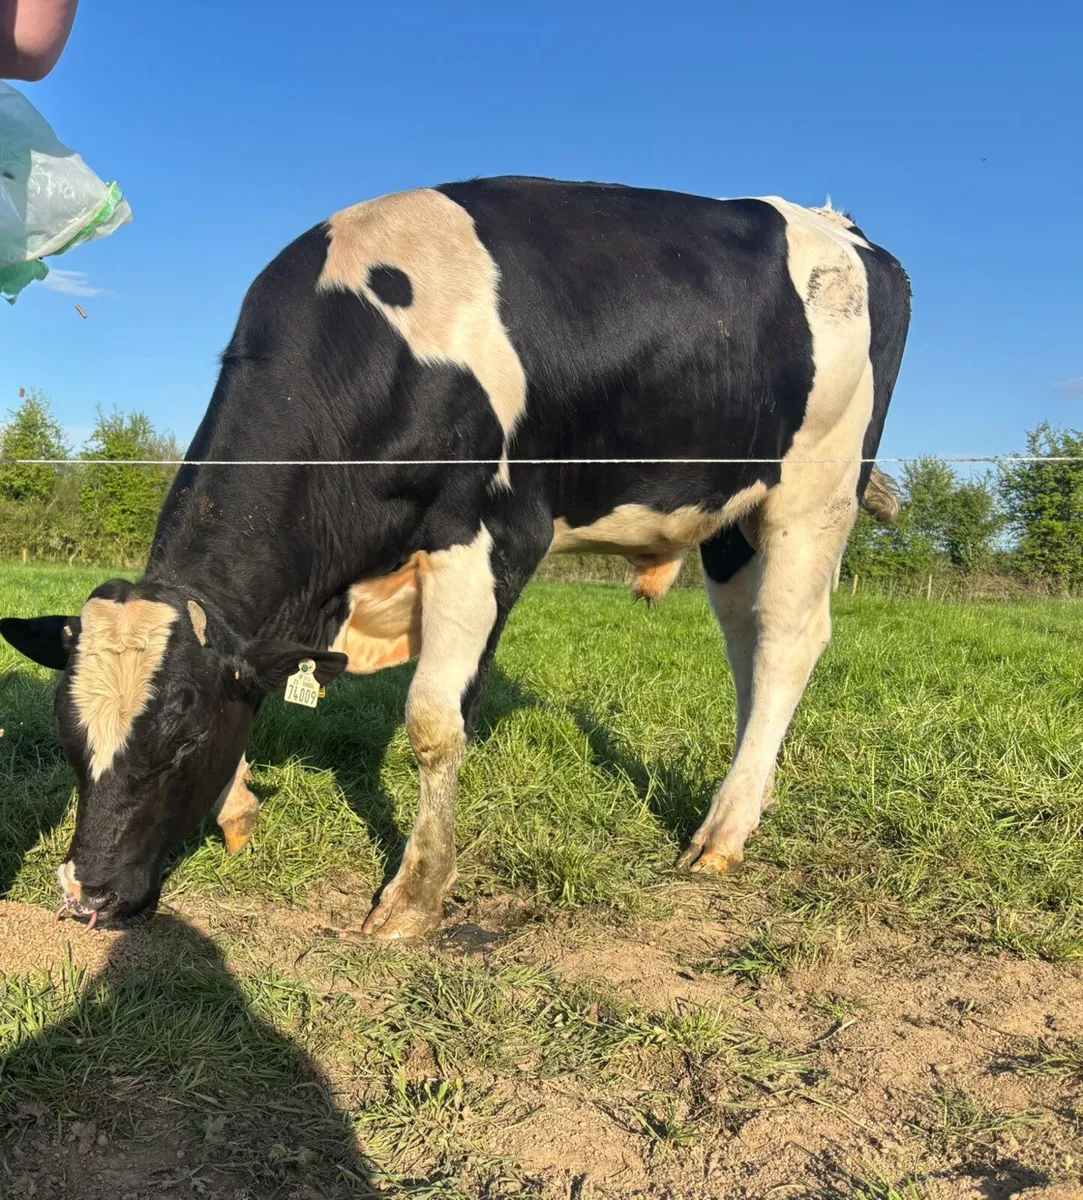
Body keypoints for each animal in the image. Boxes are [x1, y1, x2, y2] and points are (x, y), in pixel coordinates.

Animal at [0, 176, 910, 940]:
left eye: (183, 742)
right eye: (68, 736)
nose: (86, 894)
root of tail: (838, 226)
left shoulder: (490, 535)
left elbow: (436, 723)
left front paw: (414, 897)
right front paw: (237, 806)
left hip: (815, 490)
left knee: (787, 639)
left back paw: (721, 832)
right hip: (727, 516)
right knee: (745, 643)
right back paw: (742, 798)